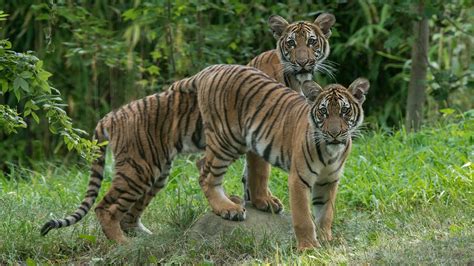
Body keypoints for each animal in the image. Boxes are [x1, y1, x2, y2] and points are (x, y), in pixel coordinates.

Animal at [189, 64, 370, 249]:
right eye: (323, 112)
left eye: (345, 111)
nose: (334, 133)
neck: (330, 152)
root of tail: (212, 68)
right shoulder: (299, 179)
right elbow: (303, 216)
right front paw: (308, 247)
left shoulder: (329, 180)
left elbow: (325, 214)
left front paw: (326, 240)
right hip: (227, 139)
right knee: (206, 173)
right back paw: (229, 208)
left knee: (207, 164)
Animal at [243, 13, 336, 214]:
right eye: (291, 43)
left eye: (311, 41)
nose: (302, 63)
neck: (296, 81)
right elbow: (260, 168)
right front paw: (263, 200)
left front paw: (252, 198)